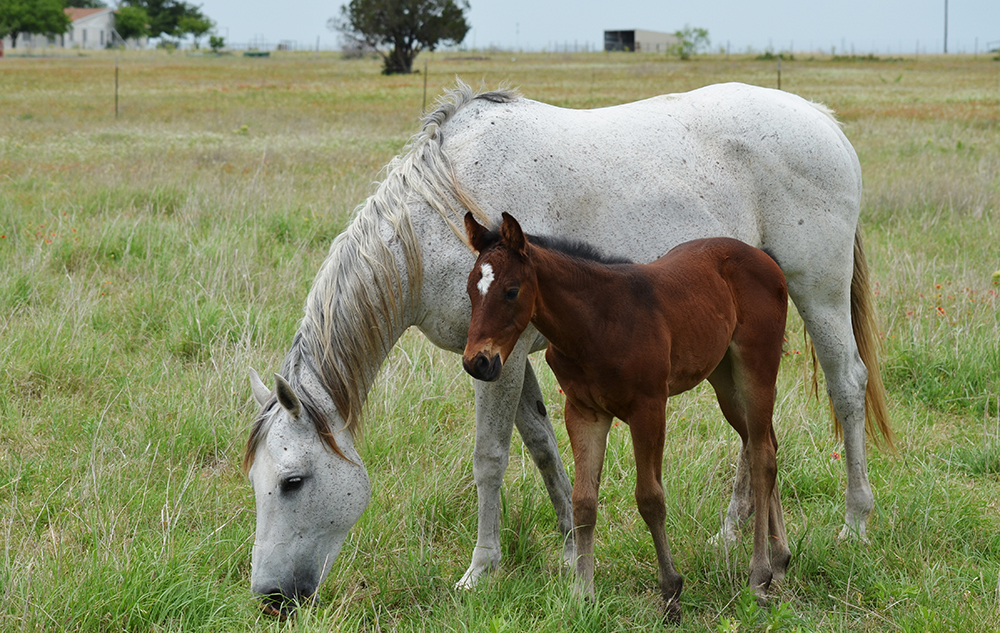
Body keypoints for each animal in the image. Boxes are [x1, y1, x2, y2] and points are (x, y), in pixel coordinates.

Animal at [462, 212, 792, 619]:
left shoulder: (649, 407)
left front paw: (671, 591)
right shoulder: (584, 412)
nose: (477, 362)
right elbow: (584, 501)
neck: (596, 323)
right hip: (725, 379)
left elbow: (650, 498)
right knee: (764, 443)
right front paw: (582, 595)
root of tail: (765, 258)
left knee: (762, 456)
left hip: (757, 367)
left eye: (511, 291)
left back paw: (759, 577)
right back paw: (780, 561)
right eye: (469, 290)